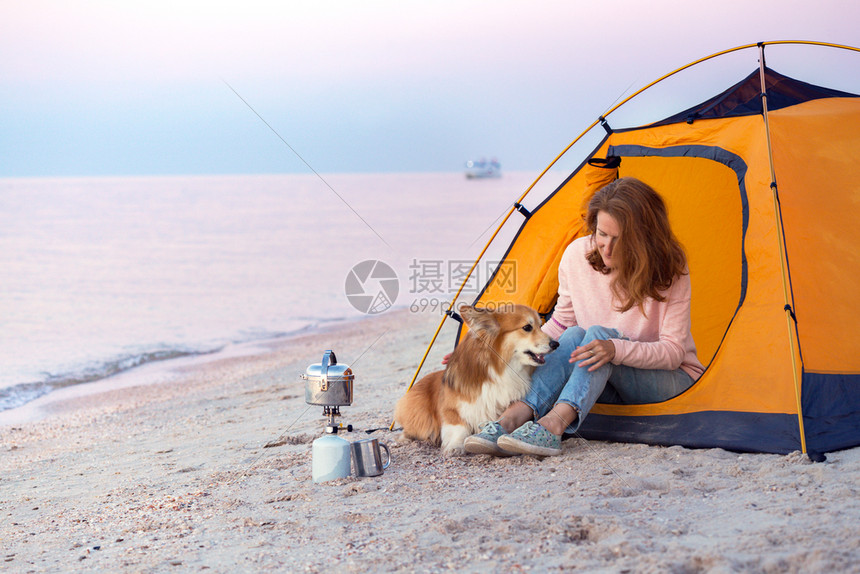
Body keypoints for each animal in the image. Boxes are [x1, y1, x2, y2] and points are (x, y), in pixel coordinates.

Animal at [394, 304, 556, 456]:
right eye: (527, 327)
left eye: (540, 325)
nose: (556, 344)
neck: (502, 368)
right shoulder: (452, 409)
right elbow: (459, 427)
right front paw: (455, 447)